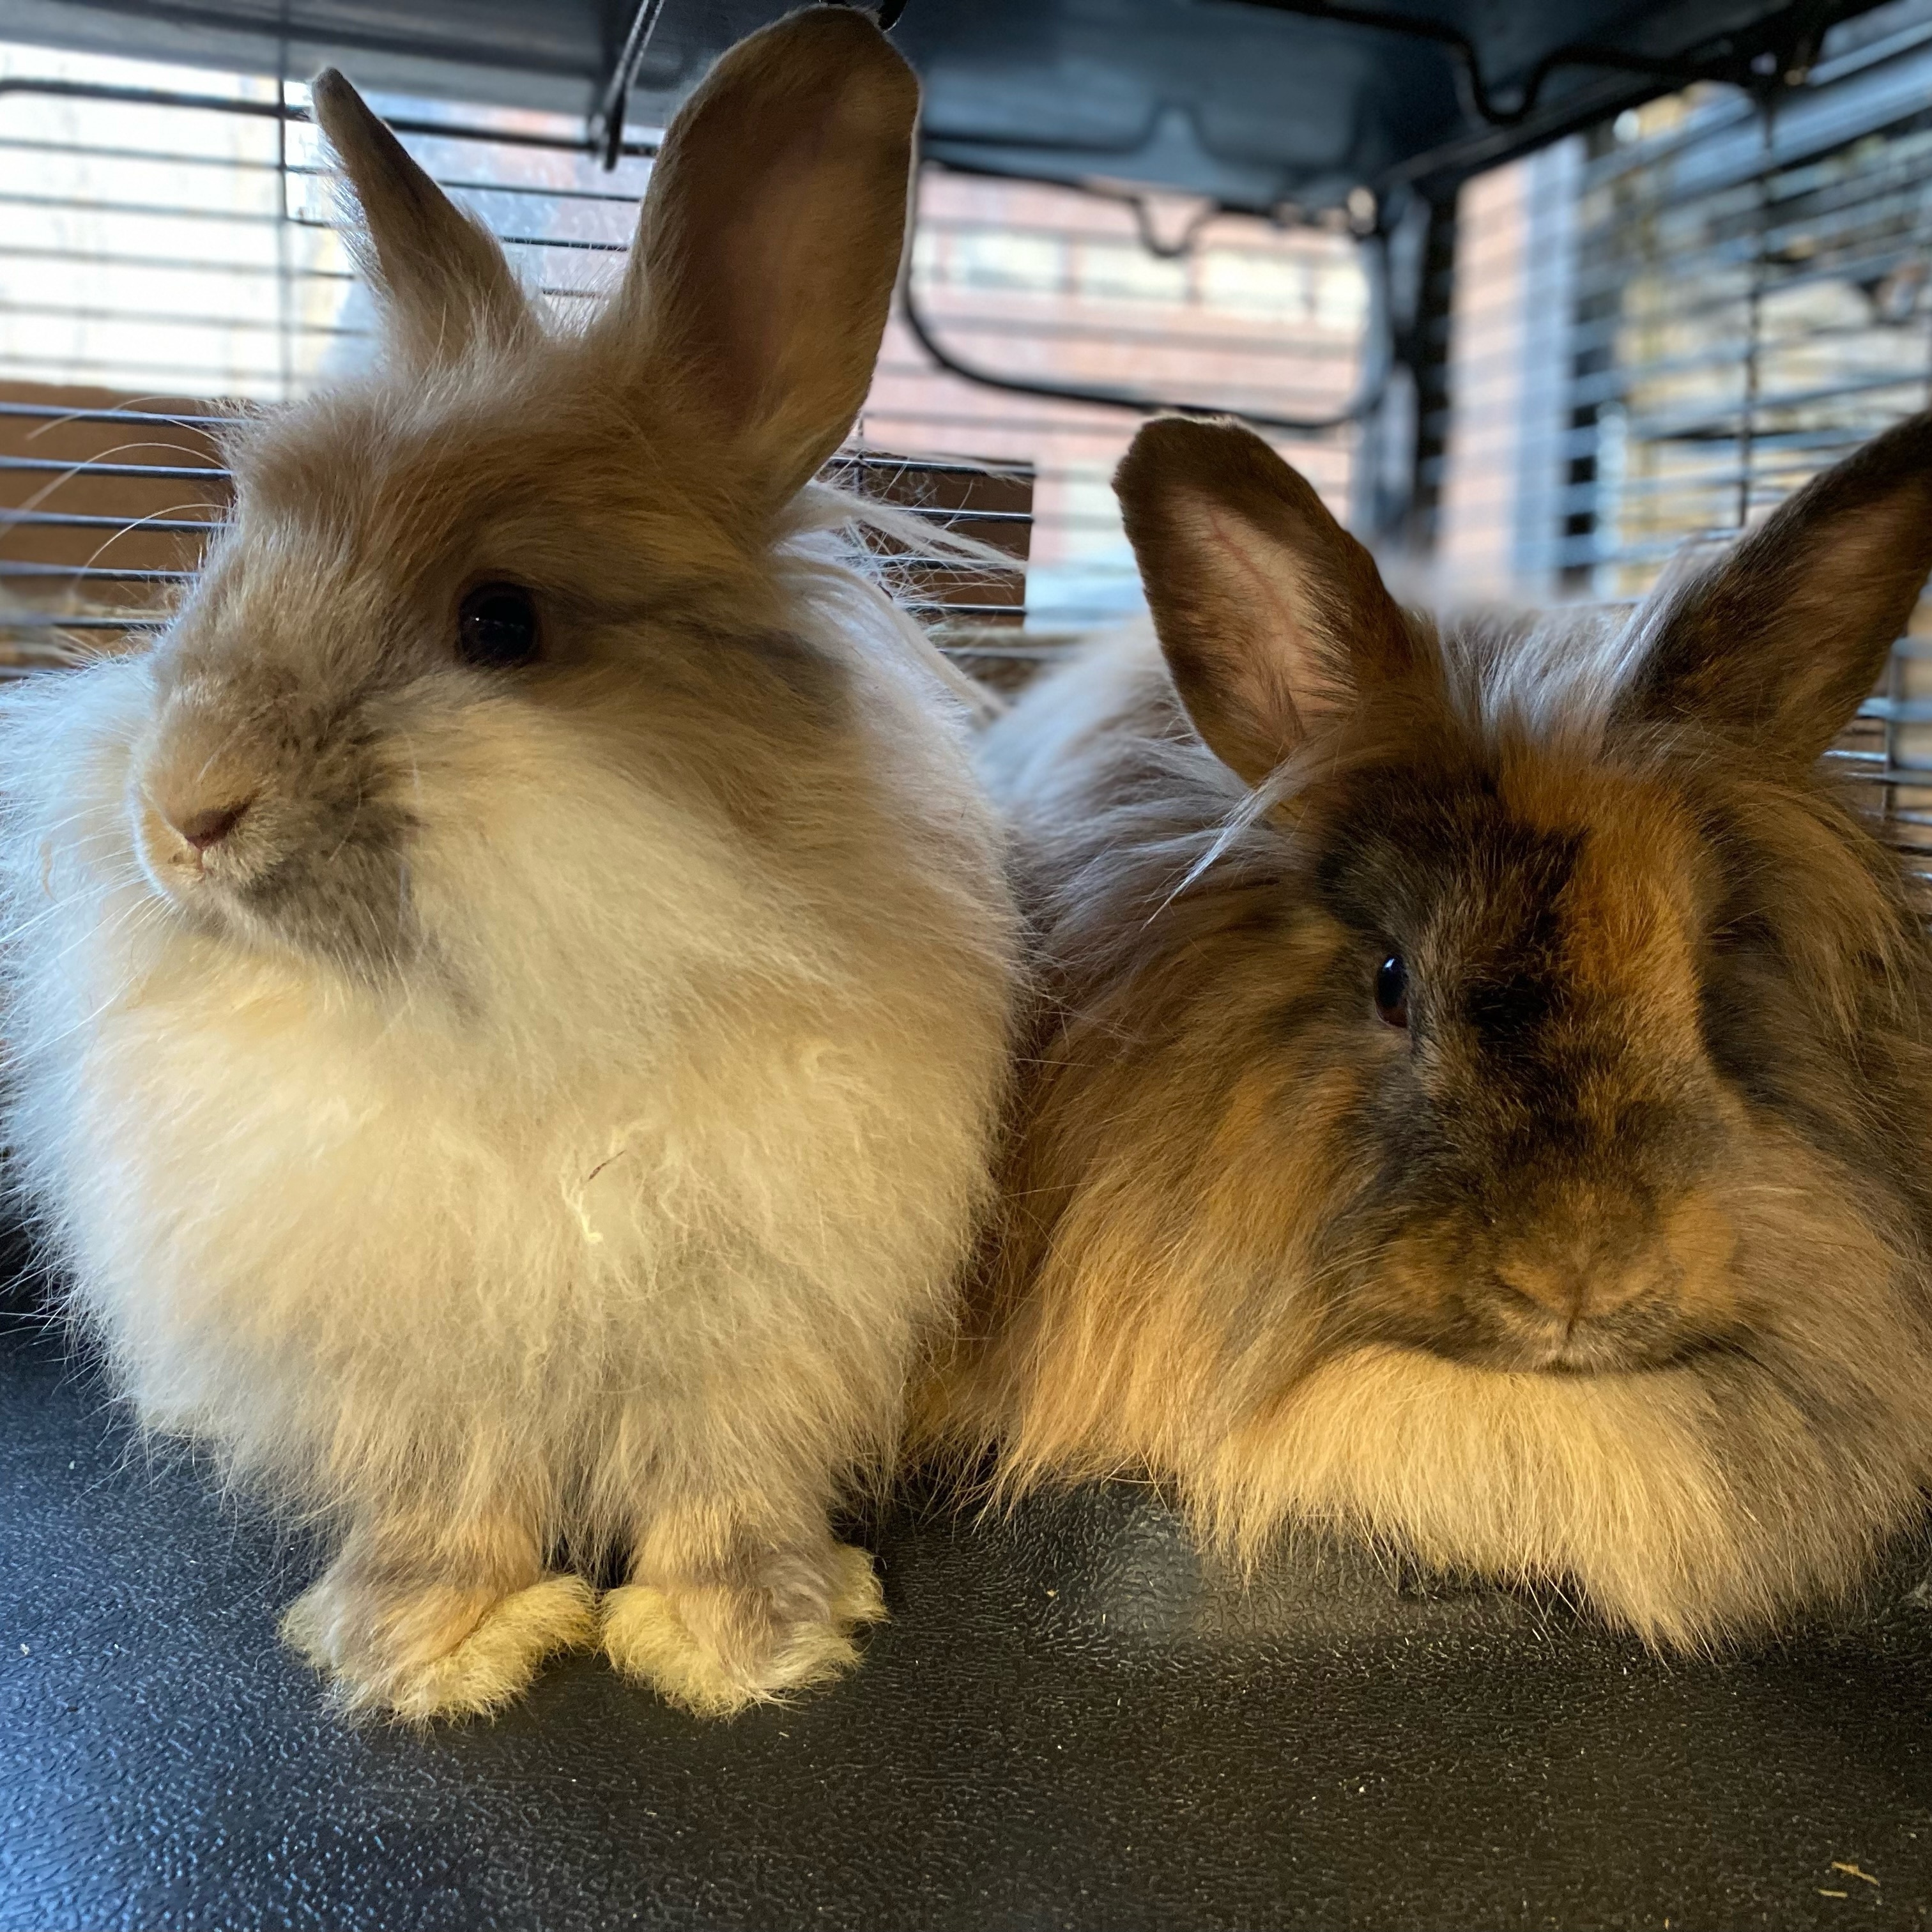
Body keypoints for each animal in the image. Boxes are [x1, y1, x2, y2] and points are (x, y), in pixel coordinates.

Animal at [0, 6, 1016, 1721]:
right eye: (224, 562)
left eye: (500, 623)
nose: (185, 810)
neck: (530, 1016)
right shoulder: (423, 1366)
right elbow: (451, 1499)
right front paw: (428, 1652)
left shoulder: (755, 1331)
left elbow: (723, 1487)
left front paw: (742, 1649)